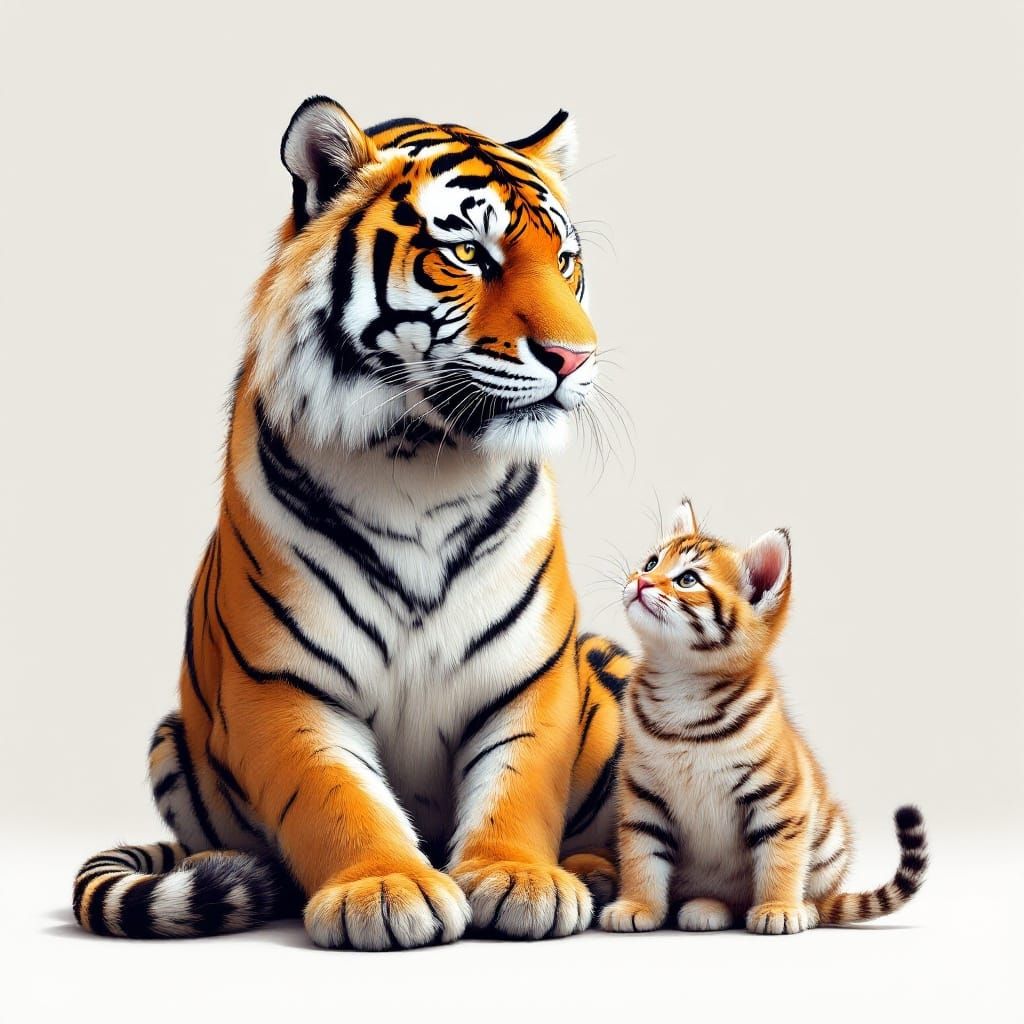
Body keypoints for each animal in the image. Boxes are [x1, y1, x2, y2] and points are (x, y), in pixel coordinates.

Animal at [72, 97, 630, 949]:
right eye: (468, 252)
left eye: (565, 260)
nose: (575, 357)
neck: (422, 458)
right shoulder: (280, 682)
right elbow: (336, 795)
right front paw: (386, 889)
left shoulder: (531, 674)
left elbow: (521, 779)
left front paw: (520, 877)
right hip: (171, 739)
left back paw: (596, 873)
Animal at [599, 500, 927, 935]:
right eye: (652, 562)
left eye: (687, 579)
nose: (640, 581)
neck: (681, 681)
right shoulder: (642, 795)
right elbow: (641, 857)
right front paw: (637, 906)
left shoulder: (780, 798)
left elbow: (780, 859)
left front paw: (778, 909)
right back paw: (707, 907)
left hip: (831, 836)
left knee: (817, 900)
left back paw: (802, 908)